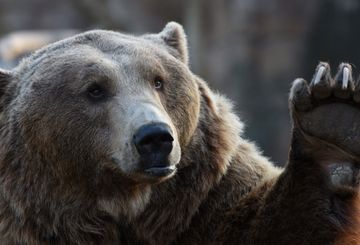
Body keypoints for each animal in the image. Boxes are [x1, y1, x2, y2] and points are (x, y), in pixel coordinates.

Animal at [0, 22, 358, 244]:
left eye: (158, 80)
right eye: (95, 90)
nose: (154, 137)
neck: (125, 203)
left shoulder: (203, 199)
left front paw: (331, 121)